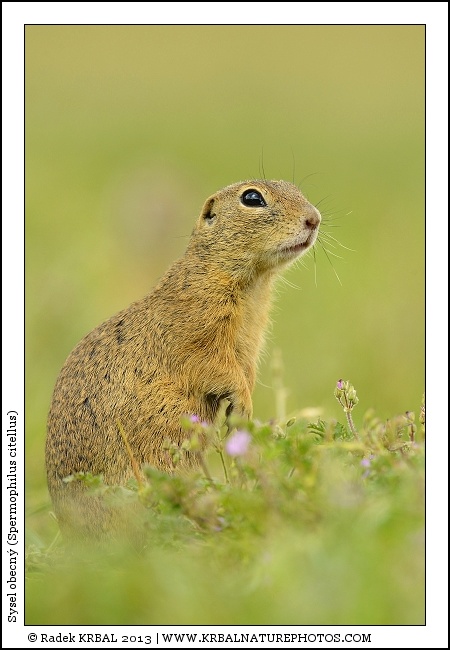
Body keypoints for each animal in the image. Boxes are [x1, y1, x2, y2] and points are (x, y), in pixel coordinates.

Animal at [46, 179, 321, 540]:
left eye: (296, 188)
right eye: (252, 198)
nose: (314, 219)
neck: (252, 283)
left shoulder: (250, 342)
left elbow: (245, 371)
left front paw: (241, 414)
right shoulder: (200, 329)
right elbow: (218, 368)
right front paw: (243, 408)